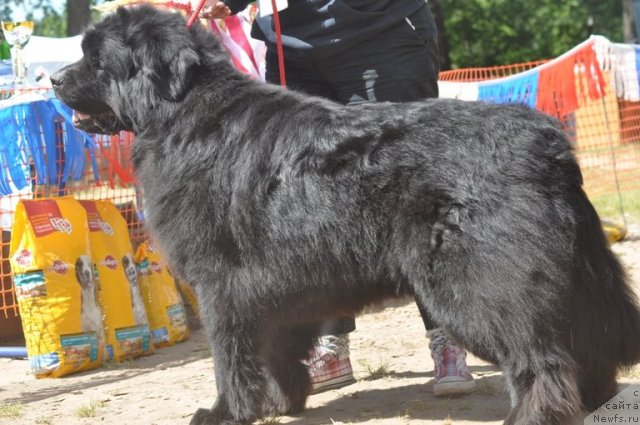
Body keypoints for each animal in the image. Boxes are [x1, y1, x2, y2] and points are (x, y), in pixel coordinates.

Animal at [51, 6, 640, 424]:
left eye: (96, 59)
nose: (55, 79)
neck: (185, 113)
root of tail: (548, 142)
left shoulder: (223, 283)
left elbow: (231, 357)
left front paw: (225, 413)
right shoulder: (278, 283)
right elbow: (278, 349)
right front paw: (283, 402)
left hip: (480, 285)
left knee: (541, 361)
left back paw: (529, 416)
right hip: (578, 274)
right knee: (589, 348)